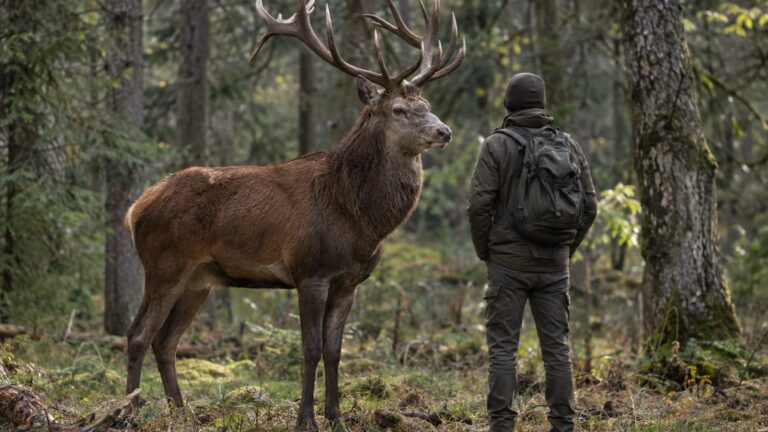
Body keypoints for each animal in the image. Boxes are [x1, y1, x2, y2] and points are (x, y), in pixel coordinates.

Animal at [123, 0, 465, 430]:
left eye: (428, 106)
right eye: (399, 109)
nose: (444, 131)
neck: (359, 219)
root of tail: (135, 209)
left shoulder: (349, 282)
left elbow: (336, 351)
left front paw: (335, 416)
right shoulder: (310, 271)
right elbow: (311, 348)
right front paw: (307, 419)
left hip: (199, 280)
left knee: (166, 341)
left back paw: (183, 413)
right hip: (165, 265)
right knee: (137, 335)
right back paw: (129, 411)